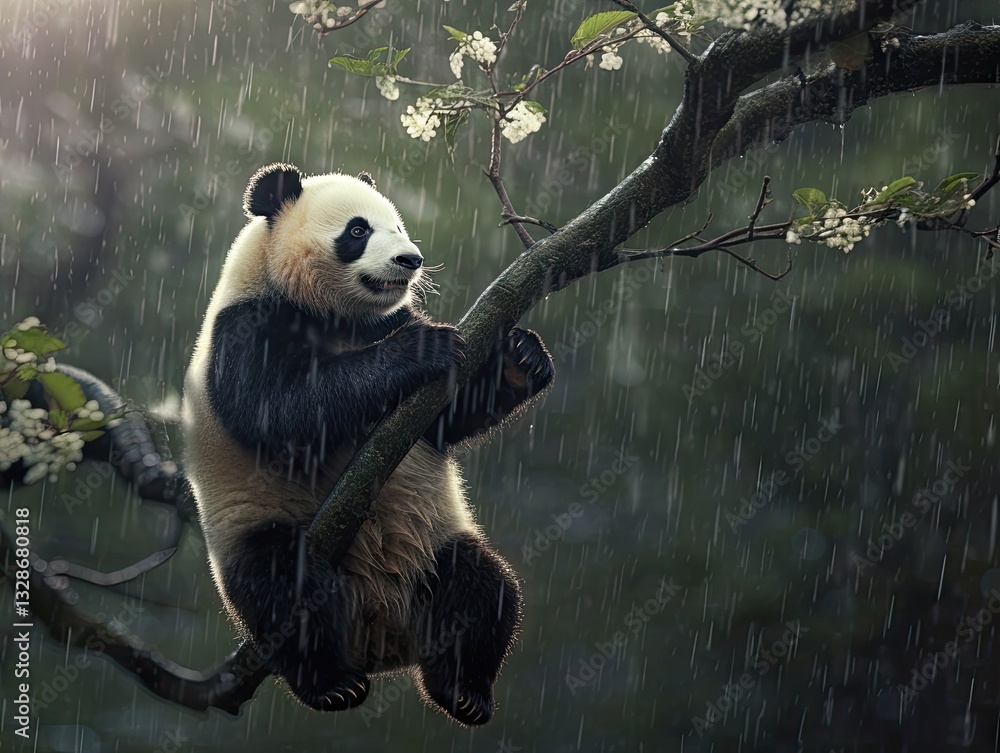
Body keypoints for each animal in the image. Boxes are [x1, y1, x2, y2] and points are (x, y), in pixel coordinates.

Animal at [182, 162, 554, 726]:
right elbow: (281, 414)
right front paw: (420, 348)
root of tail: (382, 639)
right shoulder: (247, 329)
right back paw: (332, 684)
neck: (333, 315)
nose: (410, 259)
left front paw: (522, 357)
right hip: (257, 527)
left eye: (398, 226)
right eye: (358, 230)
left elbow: (448, 420)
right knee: (285, 588)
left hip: (434, 548)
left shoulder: (385, 320)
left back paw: (462, 690)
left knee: (482, 588)